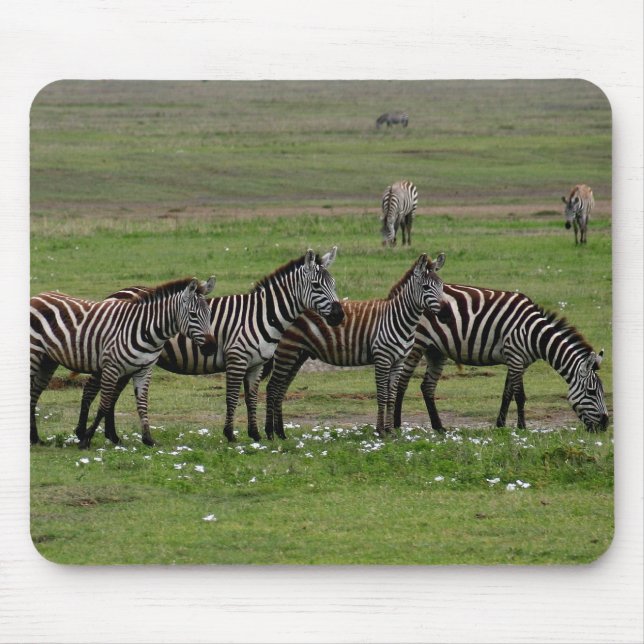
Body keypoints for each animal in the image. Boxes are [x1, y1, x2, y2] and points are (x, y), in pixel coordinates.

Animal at [30, 276, 217, 448]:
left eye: (209, 314)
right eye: (193, 315)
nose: (211, 348)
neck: (146, 330)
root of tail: (37, 296)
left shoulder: (144, 370)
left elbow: (142, 404)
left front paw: (148, 439)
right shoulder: (111, 367)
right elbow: (105, 405)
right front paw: (87, 439)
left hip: (48, 361)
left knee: (34, 393)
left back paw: (35, 438)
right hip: (34, 355)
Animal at [151, 248, 345, 443]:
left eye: (334, 284)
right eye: (316, 285)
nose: (339, 315)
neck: (262, 315)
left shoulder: (256, 364)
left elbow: (251, 397)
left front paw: (255, 434)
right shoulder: (237, 359)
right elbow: (232, 397)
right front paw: (230, 434)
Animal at [264, 253, 448, 439]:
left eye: (441, 286)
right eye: (425, 287)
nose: (445, 312)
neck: (398, 318)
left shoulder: (398, 362)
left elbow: (391, 396)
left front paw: (390, 431)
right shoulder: (382, 359)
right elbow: (382, 395)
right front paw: (380, 430)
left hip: (298, 354)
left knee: (281, 389)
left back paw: (281, 433)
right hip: (287, 350)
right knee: (273, 387)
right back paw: (270, 433)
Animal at [392, 283, 609, 433]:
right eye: (591, 392)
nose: (606, 424)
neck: (535, 334)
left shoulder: (518, 361)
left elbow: (507, 394)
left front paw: (500, 425)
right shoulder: (515, 357)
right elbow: (520, 396)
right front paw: (522, 427)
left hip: (435, 350)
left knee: (427, 387)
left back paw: (439, 427)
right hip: (417, 344)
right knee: (402, 383)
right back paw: (397, 425)